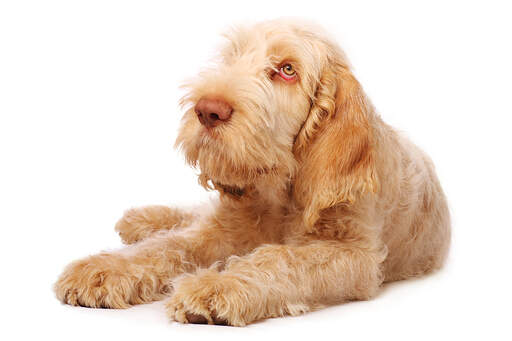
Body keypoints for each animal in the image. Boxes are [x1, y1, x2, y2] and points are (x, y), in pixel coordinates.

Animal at [54, 19, 450, 326]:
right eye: (233, 58)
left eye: (288, 70)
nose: (207, 110)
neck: (279, 191)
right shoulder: (222, 228)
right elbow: (170, 245)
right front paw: (104, 268)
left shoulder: (353, 256)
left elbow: (280, 259)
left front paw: (216, 286)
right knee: (190, 215)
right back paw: (142, 219)